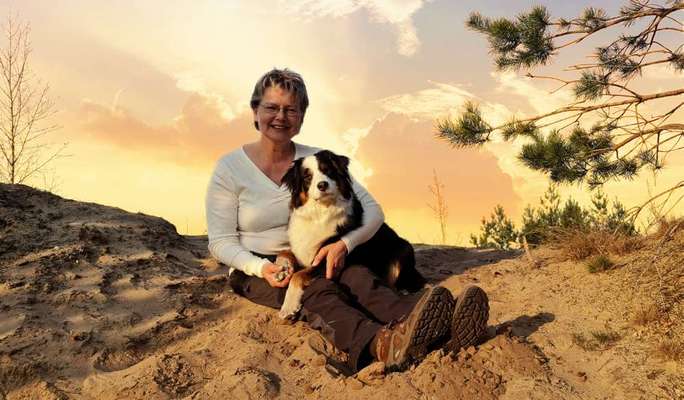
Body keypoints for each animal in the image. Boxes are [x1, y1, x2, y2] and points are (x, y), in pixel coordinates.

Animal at [276, 149, 424, 318]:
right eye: (307, 177)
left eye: (328, 170)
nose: (322, 185)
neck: (320, 213)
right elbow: (285, 253)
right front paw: (282, 269)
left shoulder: (326, 259)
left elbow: (297, 276)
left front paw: (288, 306)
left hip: (404, 248)